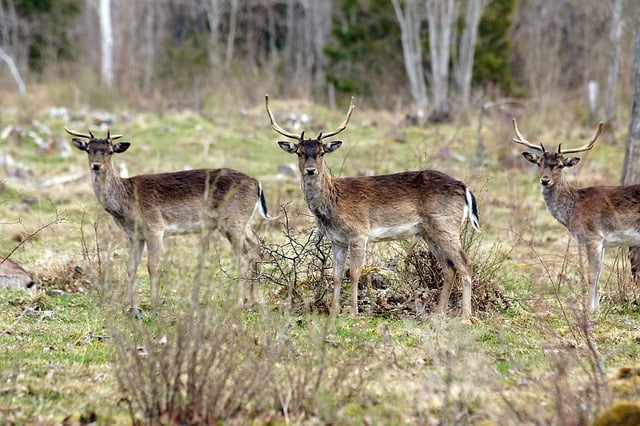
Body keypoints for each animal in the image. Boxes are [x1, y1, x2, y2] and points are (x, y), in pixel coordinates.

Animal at [66, 128, 272, 312]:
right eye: (88, 149)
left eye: (110, 151)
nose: (96, 165)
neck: (125, 203)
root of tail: (257, 184)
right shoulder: (135, 236)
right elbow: (131, 267)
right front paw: (126, 303)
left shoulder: (155, 228)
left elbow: (152, 266)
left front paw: (154, 303)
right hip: (244, 222)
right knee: (258, 249)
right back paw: (252, 301)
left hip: (232, 222)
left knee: (243, 259)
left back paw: (238, 304)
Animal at [264, 95, 480, 316]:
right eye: (299, 152)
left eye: (322, 152)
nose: (310, 170)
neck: (332, 206)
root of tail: (464, 187)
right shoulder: (337, 240)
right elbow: (336, 275)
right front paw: (334, 311)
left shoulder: (359, 233)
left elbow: (355, 273)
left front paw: (353, 311)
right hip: (429, 232)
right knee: (449, 268)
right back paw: (438, 313)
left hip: (446, 225)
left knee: (465, 263)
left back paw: (465, 314)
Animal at [510, 119, 640, 312]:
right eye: (539, 162)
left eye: (560, 165)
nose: (545, 180)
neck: (572, 211)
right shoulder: (601, 243)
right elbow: (598, 274)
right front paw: (597, 308)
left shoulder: (593, 237)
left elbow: (591, 275)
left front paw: (590, 310)